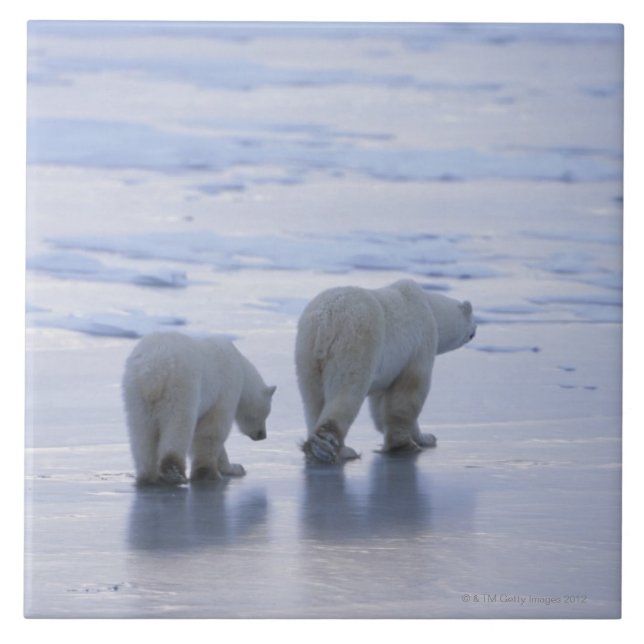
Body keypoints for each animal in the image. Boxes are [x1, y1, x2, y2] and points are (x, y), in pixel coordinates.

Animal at [122, 331, 276, 485]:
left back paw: (147, 474)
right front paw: (214, 472)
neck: (242, 368)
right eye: (265, 414)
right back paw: (174, 473)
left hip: (136, 394)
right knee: (178, 426)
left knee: (141, 433)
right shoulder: (225, 389)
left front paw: (233, 468)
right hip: (180, 387)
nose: (262, 435)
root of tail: (153, 369)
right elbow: (212, 430)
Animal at [295, 279, 476, 464]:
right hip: (356, 343)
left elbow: (379, 403)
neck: (431, 308)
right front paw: (409, 444)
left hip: (306, 354)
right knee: (347, 392)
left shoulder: (388, 367)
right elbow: (409, 394)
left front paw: (423, 437)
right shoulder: (420, 344)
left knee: (312, 401)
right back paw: (339, 449)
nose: (474, 331)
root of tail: (324, 323)